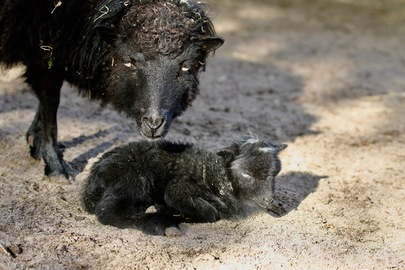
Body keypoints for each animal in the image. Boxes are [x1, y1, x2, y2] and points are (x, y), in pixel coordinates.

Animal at [0, 0, 224, 179]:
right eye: (129, 62)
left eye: (186, 66)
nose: (153, 123)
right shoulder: (45, 50)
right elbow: (50, 102)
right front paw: (55, 165)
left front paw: (35, 143)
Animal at [82, 136, 286, 235]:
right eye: (246, 174)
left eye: (274, 173)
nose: (267, 199)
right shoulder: (177, 189)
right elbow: (211, 213)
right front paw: (178, 215)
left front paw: (278, 206)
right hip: (134, 178)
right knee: (107, 212)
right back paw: (160, 223)